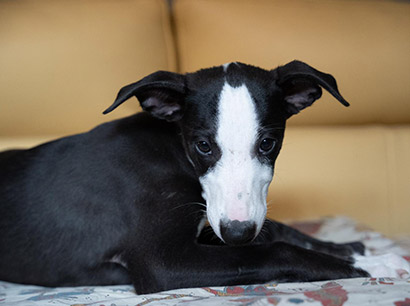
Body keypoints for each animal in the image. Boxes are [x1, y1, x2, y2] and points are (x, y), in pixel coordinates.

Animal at [0, 61, 406, 292]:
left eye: (268, 143)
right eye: (203, 145)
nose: (238, 233)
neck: (173, 149)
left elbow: (276, 231)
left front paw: (351, 248)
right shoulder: (163, 262)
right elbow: (273, 248)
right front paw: (373, 265)